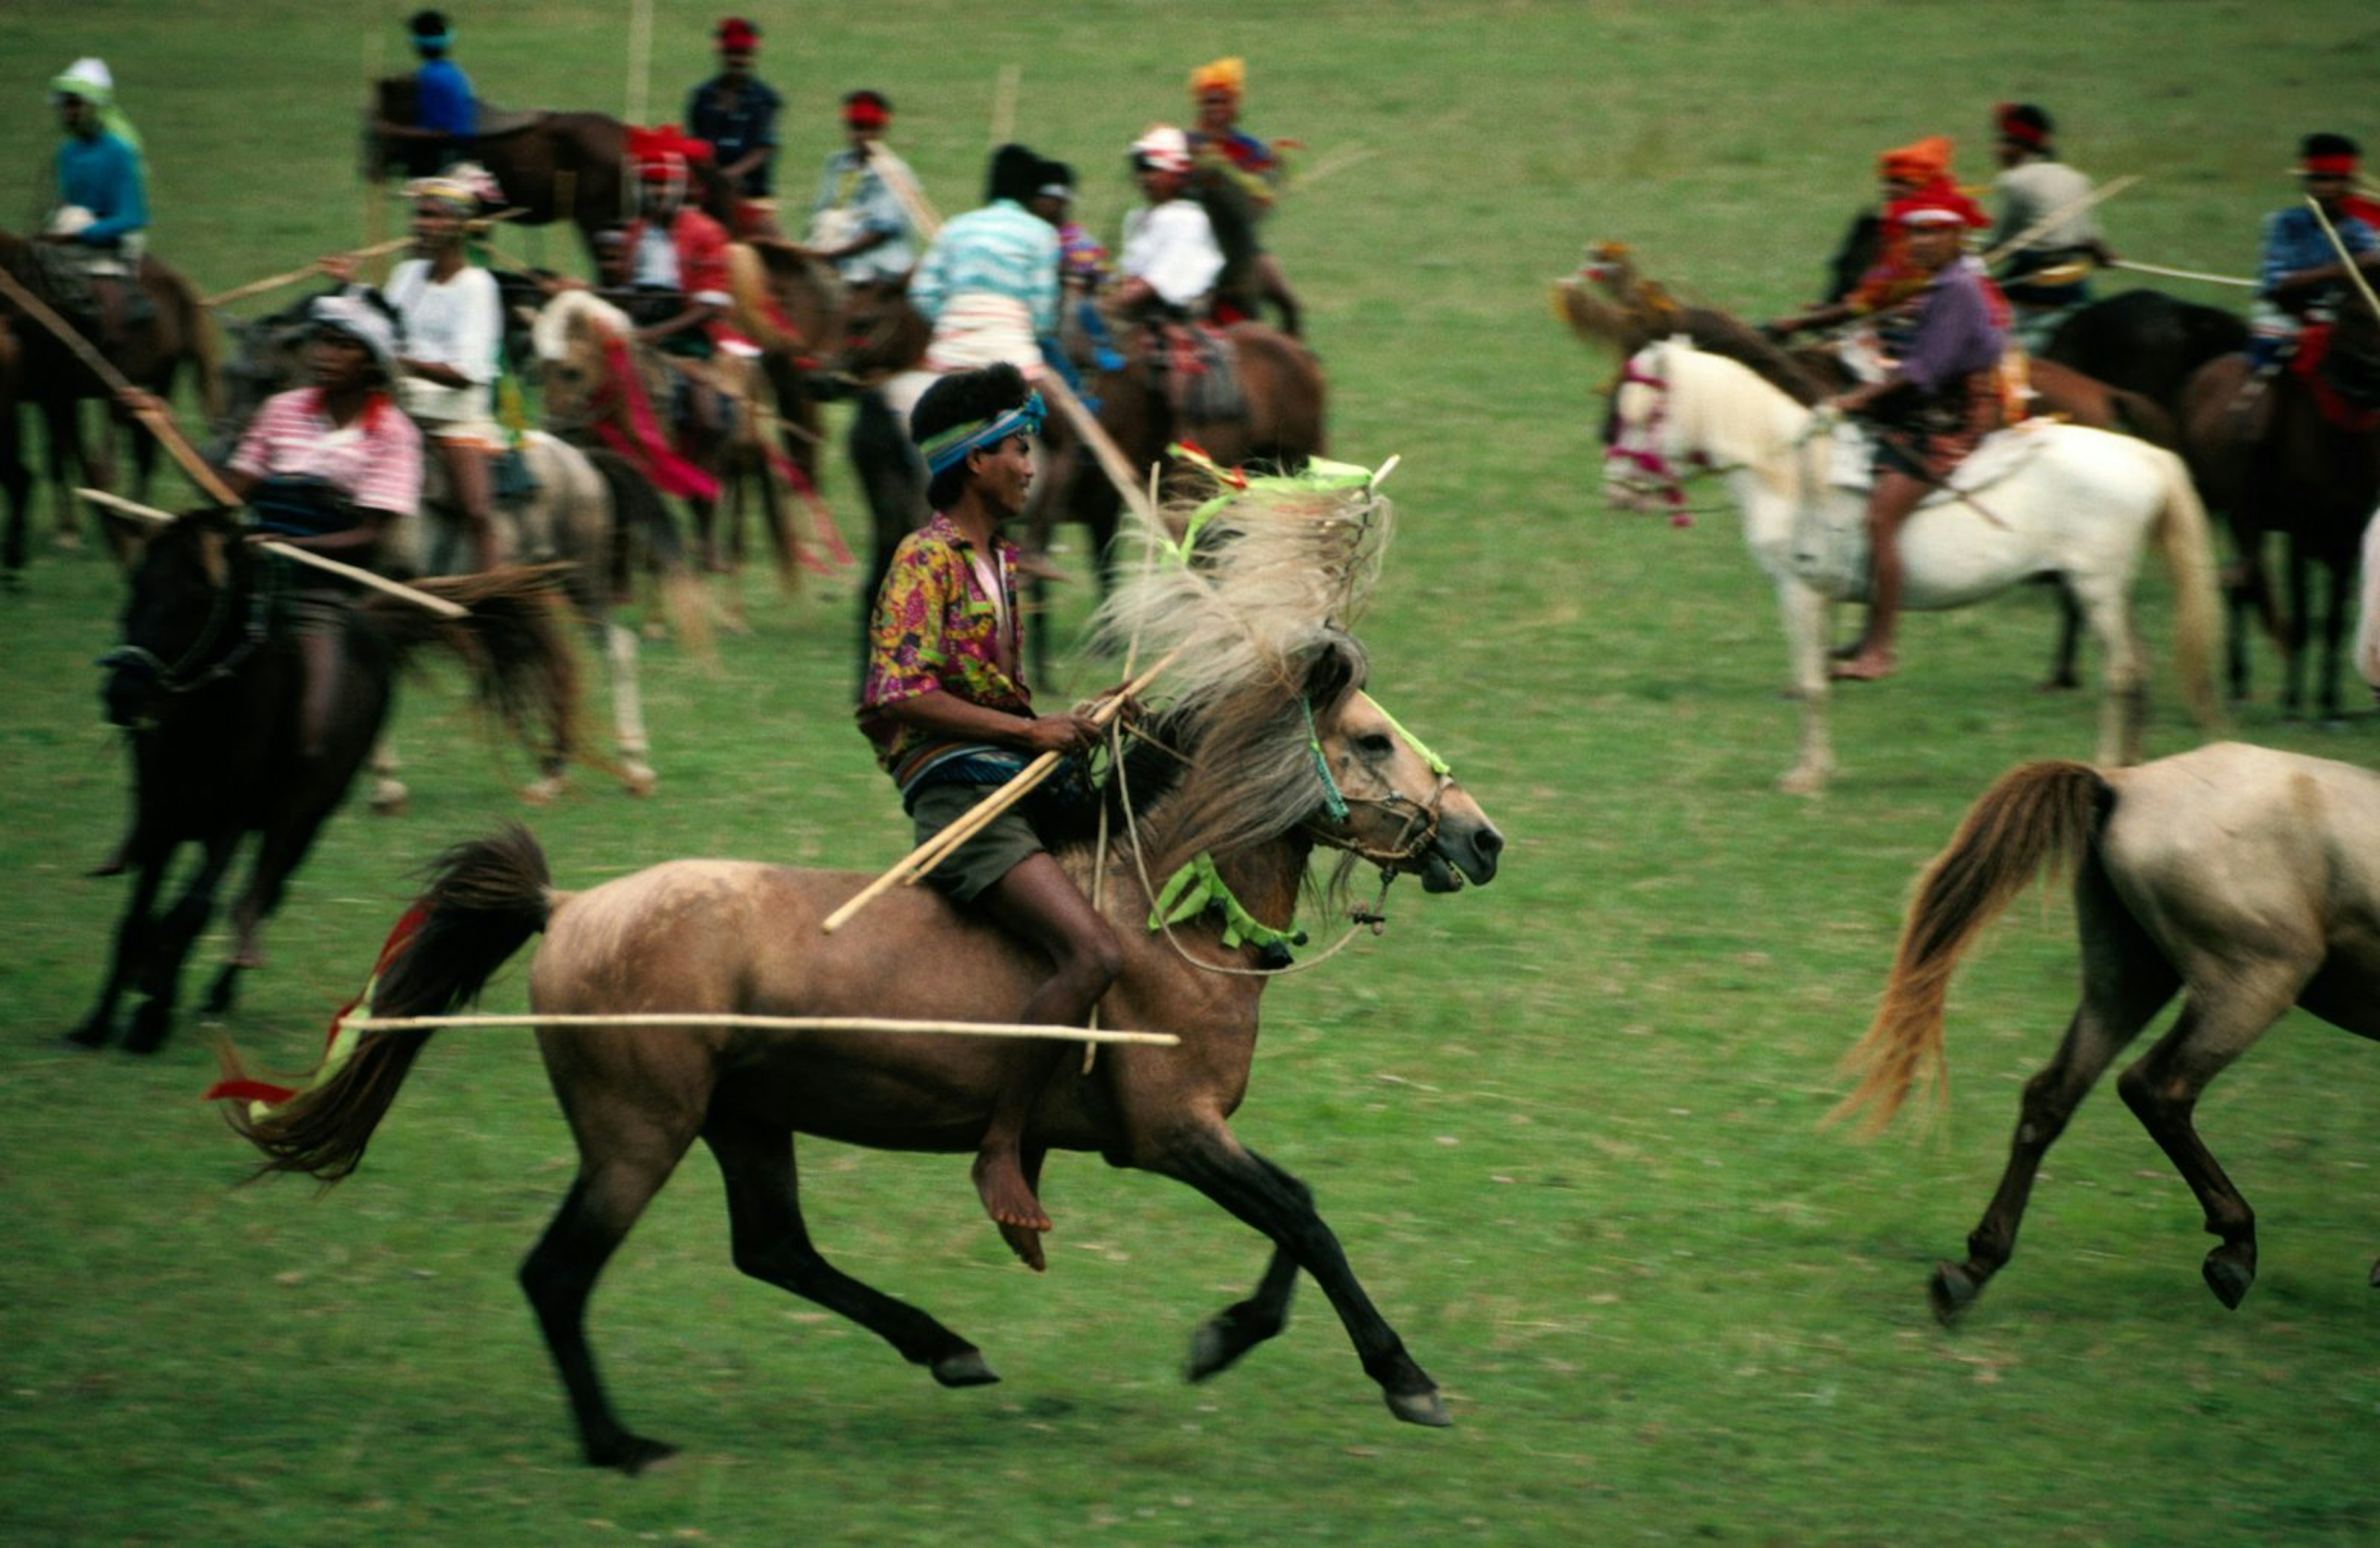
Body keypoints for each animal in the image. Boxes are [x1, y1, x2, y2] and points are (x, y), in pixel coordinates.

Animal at [75, 511, 580, 1055]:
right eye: (138, 584)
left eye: (196, 597)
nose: (123, 693)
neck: (211, 721)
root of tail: (367, 620)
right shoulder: (163, 817)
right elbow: (136, 919)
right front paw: (97, 1022)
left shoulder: (230, 824)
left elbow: (191, 911)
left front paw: (149, 1018)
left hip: (301, 822)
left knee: (260, 896)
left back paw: (219, 990)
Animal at [1608, 345, 2218, 794]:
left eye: (1643, 415)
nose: (1616, 491)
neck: (1790, 473)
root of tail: (2146, 457)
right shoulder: (1823, 599)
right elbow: (1816, 679)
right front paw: (1817, 768)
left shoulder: (1798, 592)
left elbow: (1811, 685)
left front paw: (1805, 778)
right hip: (2107, 592)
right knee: (2139, 665)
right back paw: (2133, 770)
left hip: (2094, 588)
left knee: (2121, 671)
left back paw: (2105, 767)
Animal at [1828, 746, 2380, 1322]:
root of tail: (2122, 784)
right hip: (2253, 979)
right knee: (2156, 1087)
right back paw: (2235, 1250)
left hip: (2129, 976)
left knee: (2052, 1095)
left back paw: (1972, 1269)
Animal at [2180, 304, 2380, 728]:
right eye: (2353, 316)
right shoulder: (2301, 537)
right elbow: (2303, 620)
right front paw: (2292, 704)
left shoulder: (2346, 535)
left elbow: (2333, 623)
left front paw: (2329, 705)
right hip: (2213, 507)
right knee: (2230, 583)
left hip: (2243, 521)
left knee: (2242, 585)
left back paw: (2238, 684)